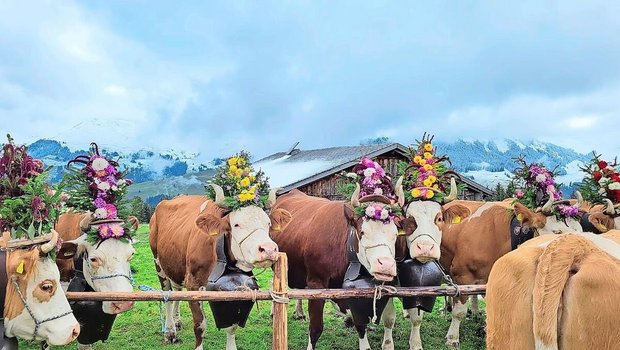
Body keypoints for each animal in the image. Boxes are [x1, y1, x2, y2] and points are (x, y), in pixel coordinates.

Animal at [149, 186, 292, 350]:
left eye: (268, 223)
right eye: (236, 224)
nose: (268, 249)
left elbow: (232, 326)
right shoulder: (194, 284)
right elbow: (200, 325)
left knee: (177, 291)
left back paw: (177, 321)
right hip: (158, 264)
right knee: (167, 296)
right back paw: (170, 331)